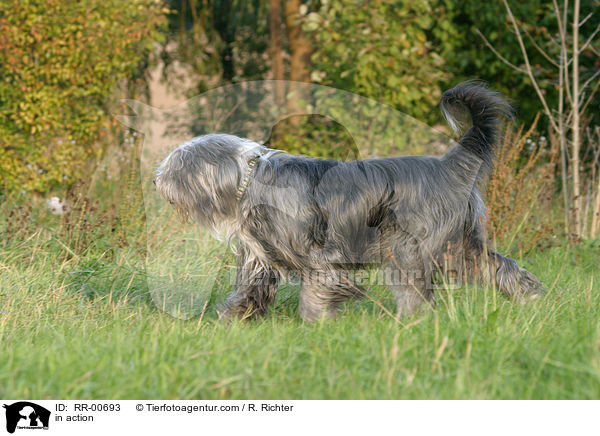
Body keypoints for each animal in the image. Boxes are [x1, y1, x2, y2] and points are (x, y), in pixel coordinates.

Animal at [154, 81, 544, 320]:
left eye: (178, 163)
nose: (156, 179)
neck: (250, 180)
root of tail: (452, 164)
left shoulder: (321, 256)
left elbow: (317, 291)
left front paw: (316, 322)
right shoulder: (259, 259)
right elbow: (250, 293)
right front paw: (230, 322)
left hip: (409, 248)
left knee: (417, 289)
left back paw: (410, 321)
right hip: (461, 248)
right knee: (502, 268)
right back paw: (530, 299)